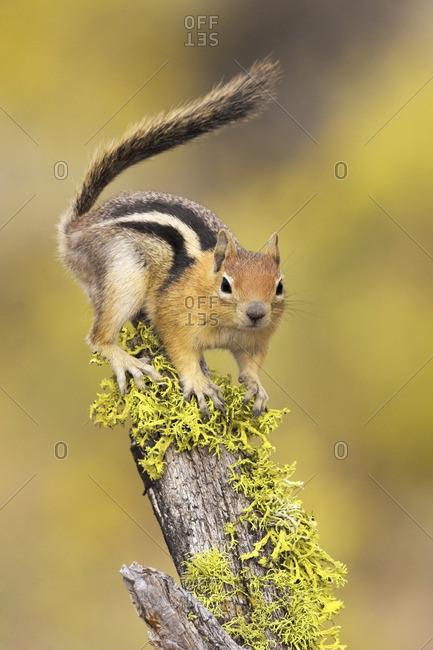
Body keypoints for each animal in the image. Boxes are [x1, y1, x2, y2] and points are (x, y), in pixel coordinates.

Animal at [58, 58, 285, 418]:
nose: (256, 313)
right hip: (124, 275)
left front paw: (256, 387)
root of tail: (75, 231)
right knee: (99, 336)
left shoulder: (257, 339)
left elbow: (251, 363)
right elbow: (180, 351)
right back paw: (129, 362)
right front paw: (200, 384)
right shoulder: (174, 318)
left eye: (279, 286)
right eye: (226, 284)